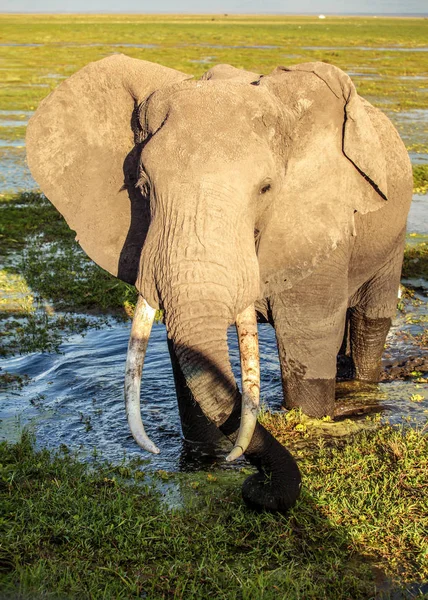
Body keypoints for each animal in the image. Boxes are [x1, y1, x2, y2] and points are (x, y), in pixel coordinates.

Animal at [25, 55, 412, 510]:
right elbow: (184, 348)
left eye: (266, 188)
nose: (255, 484)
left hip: (392, 237)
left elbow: (307, 336)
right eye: (143, 186)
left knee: (370, 319)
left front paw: (309, 423)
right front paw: (206, 460)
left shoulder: (318, 221)